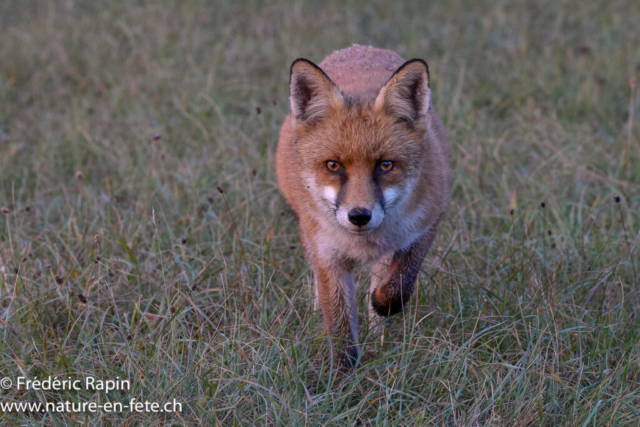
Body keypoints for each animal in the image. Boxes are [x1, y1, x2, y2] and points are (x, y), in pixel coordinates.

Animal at [276, 44, 452, 367]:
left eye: (385, 165)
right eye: (333, 165)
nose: (359, 216)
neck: (363, 245)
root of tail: (360, 48)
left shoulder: (426, 226)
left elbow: (398, 287)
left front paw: (382, 306)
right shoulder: (327, 254)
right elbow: (339, 323)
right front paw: (343, 373)